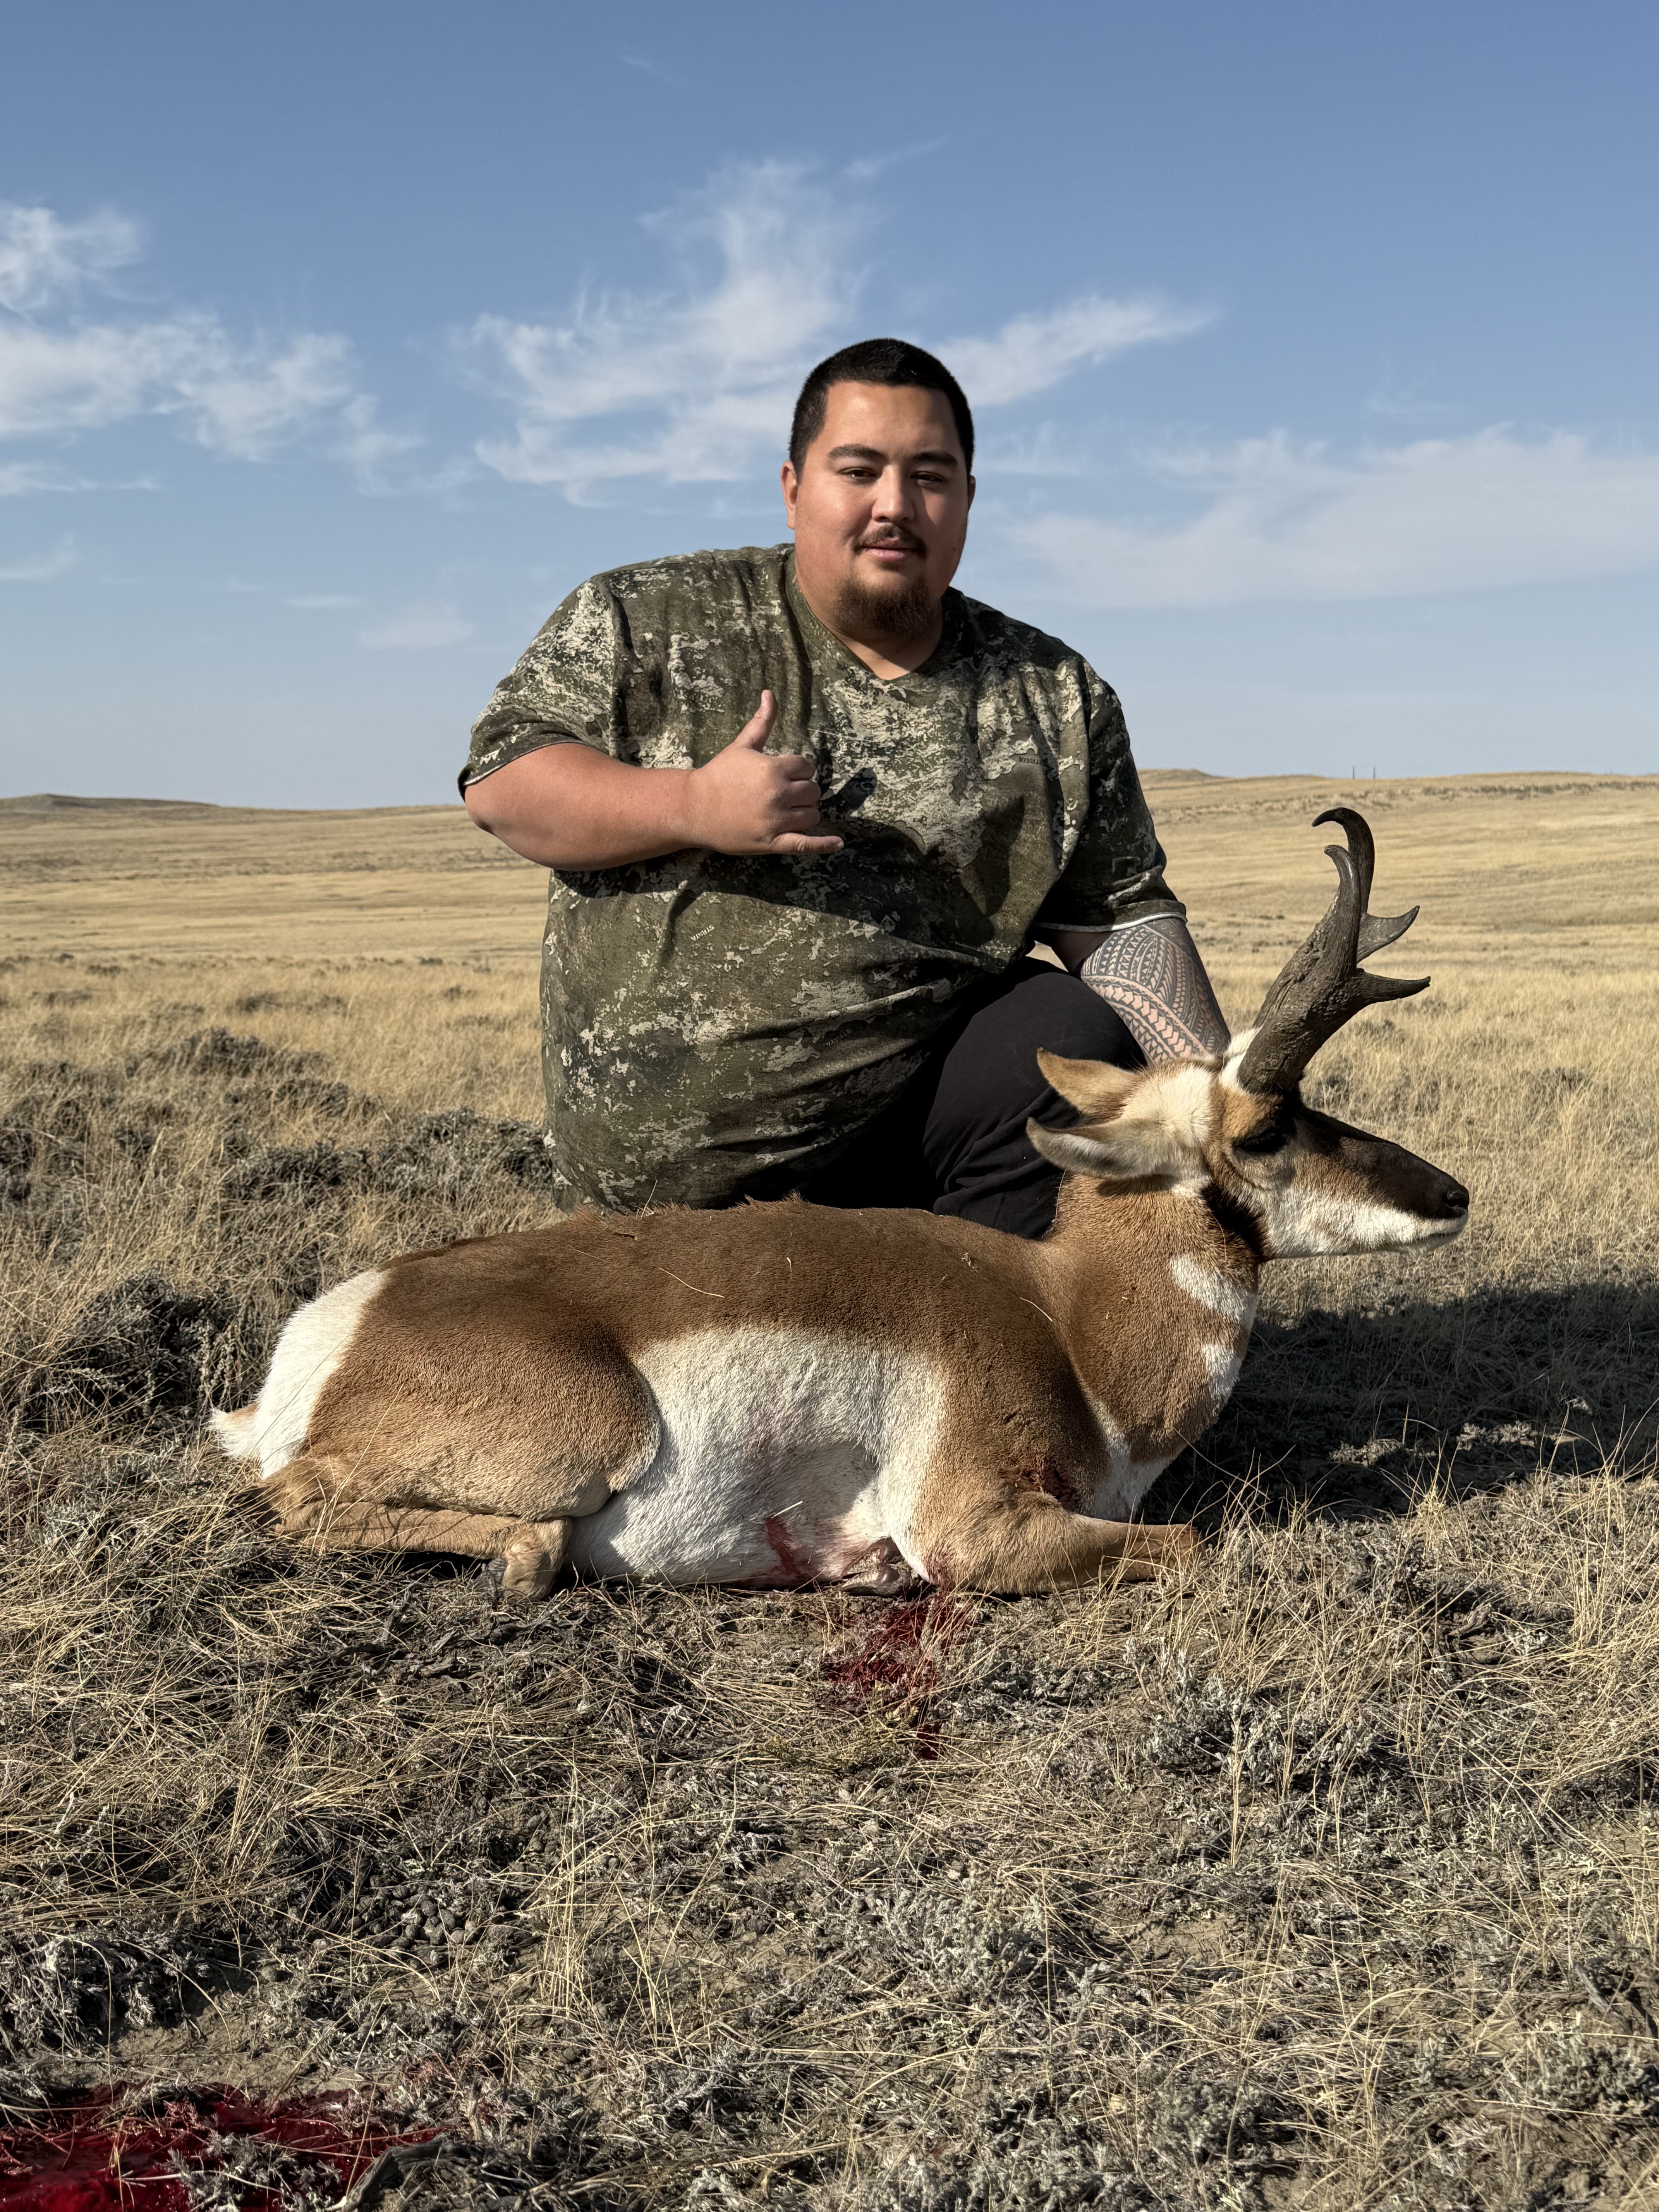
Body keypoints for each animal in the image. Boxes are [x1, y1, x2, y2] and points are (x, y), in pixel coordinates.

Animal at [213, 811, 1468, 1598]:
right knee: (314, 1501)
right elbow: (1194, 1541)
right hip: (589, 1435)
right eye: (1268, 1129)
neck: (1069, 1325)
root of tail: (334, 1330)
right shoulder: (978, 1528)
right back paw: (521, 1559)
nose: (1453, 1194)